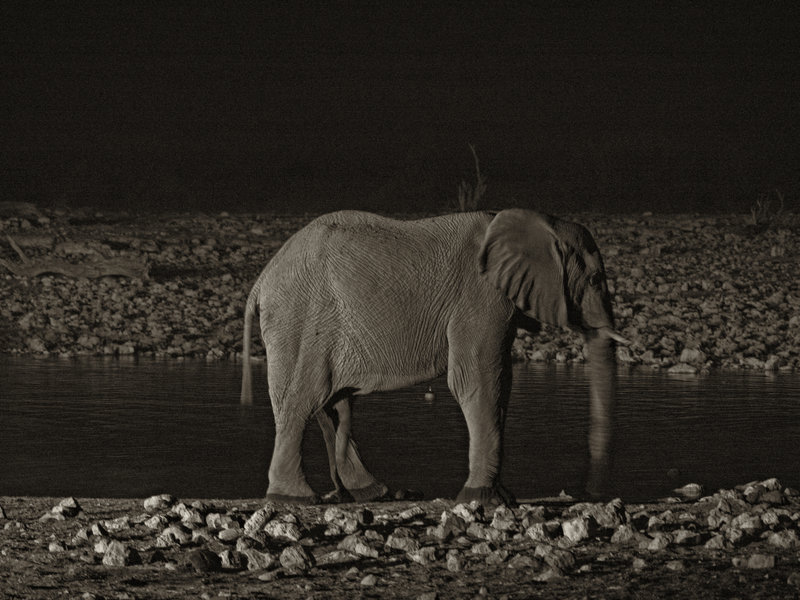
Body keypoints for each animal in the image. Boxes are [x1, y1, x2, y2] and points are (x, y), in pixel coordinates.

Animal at [240, 209, 627, 505]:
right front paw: (481, 499)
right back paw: (294, 499)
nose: (590, 491)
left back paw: (371, 493)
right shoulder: (481, 297)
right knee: (305, 399)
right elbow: (478, 381)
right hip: (300, 317)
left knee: (333, 403)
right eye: (595, 279)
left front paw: (502, 498)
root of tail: (261, 280)